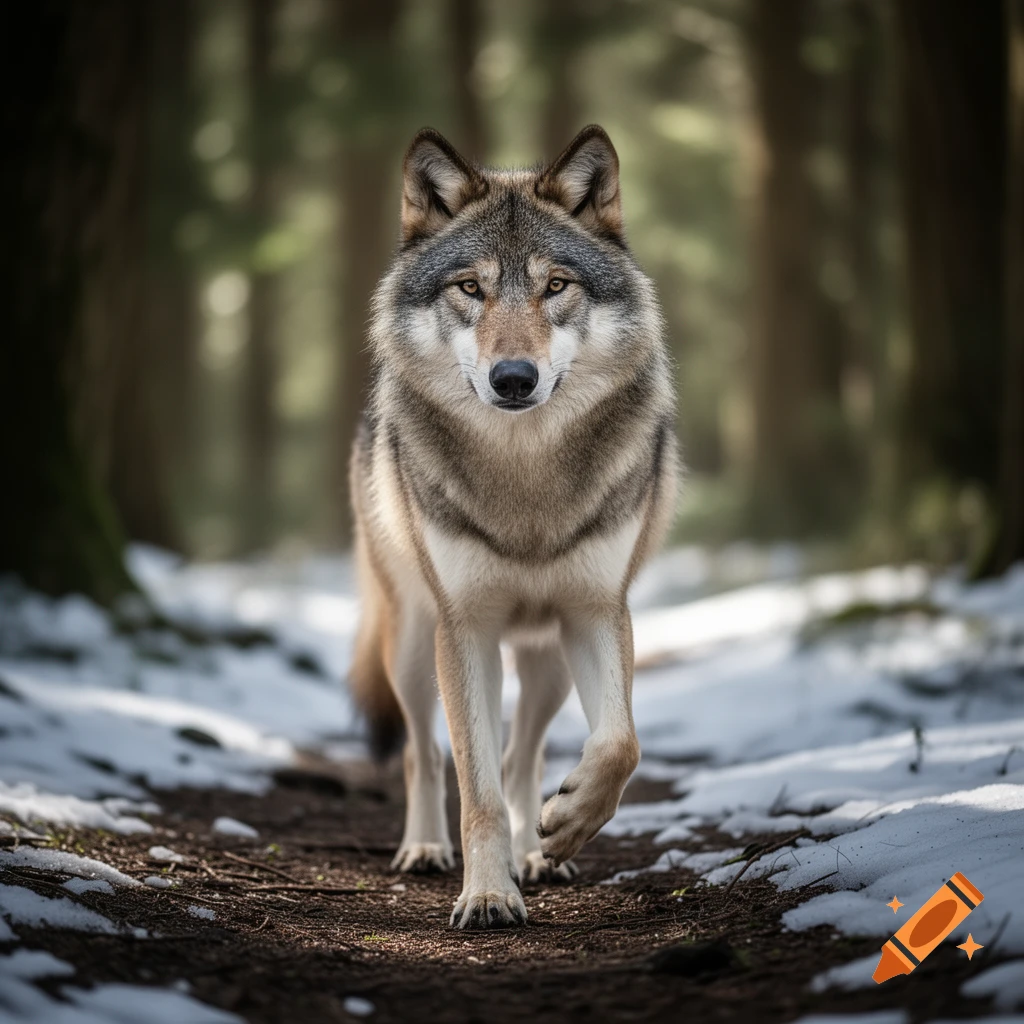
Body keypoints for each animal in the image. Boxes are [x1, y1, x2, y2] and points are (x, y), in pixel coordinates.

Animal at [349, 125, 678, 929]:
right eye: (472, 288)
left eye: (555, 286)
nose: (514, 378)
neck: (525, 482)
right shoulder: (465, 625)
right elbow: (476, 789)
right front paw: (488, 894)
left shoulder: (596, 611)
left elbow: (620, 744)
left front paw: (567, 824)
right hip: (413, 641)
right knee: (424, 752)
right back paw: (427, 849)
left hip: (547, 656)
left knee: (523, 753)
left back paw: (540, 848)